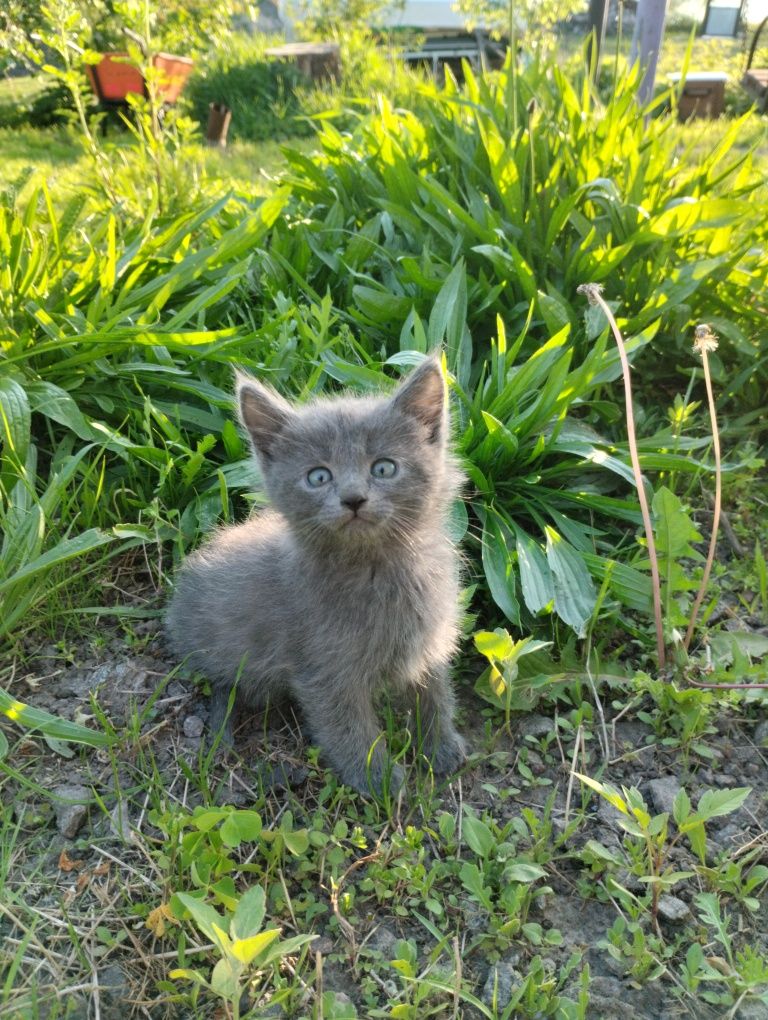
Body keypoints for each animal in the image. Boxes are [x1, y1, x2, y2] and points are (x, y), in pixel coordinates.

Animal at [165, 354, 465, 791]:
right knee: (223, 682)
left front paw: (440, 748)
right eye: (318, 476)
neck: (379, 571)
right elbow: (347, 727)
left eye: (384, 468)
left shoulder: (429, 640)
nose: (353, 498)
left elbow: (435, 694)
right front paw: (378, 780)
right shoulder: (322, 669)